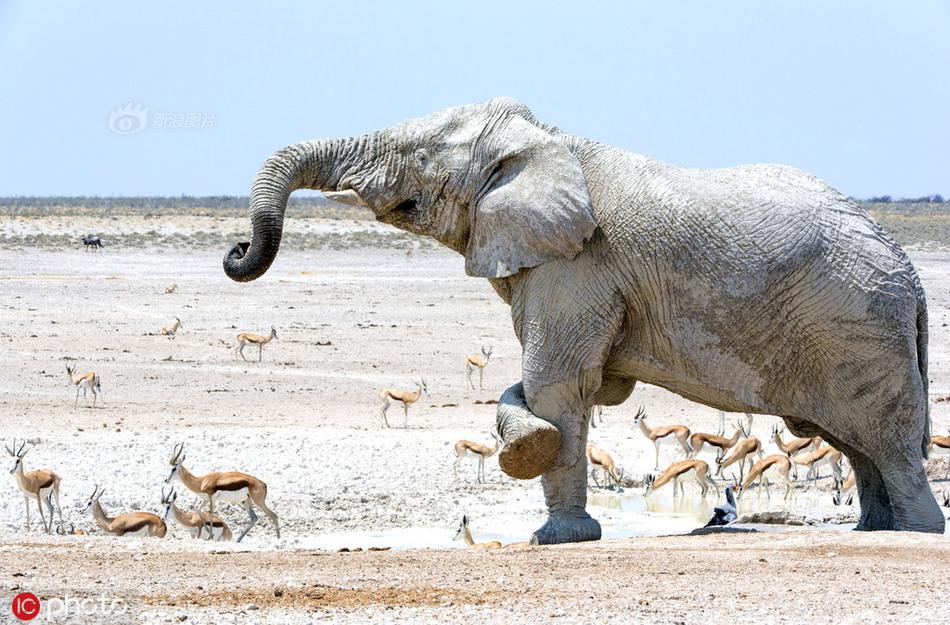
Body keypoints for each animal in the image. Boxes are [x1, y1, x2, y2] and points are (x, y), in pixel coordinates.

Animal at [223, 96, 944, 540]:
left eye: (420, 158)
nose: (236, 251)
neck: (546, 140)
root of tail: (910, 273)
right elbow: (572, 386)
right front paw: (530, 449)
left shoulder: (577, 263)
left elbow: (558, 383)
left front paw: (557, 537)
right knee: (857, 445)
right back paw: (877, 528)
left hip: (857, 326)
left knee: (886, 440)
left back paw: (916, 530)